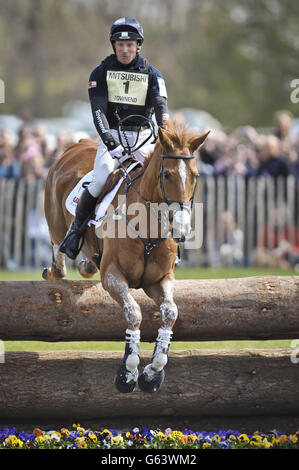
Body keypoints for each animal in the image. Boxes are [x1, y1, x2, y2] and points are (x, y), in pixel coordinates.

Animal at [43, 120, 210, 392]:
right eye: (167, 175)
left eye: (195, 176)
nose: (182, 231)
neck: (148, 227)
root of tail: (77, 145)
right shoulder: (113, 276)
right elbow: (134, 313)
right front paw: (128, 372)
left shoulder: (159, 279)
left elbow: (170, 313)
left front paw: (153, 373)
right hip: (56, 221)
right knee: (58, 247)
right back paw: (56, 268)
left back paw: (87, 264)